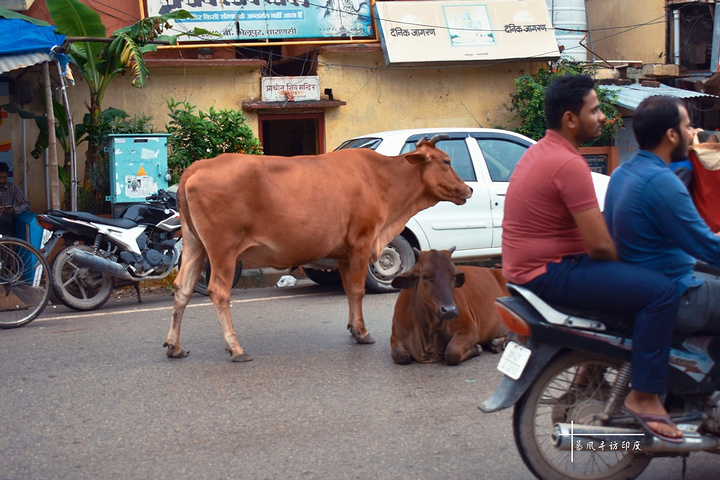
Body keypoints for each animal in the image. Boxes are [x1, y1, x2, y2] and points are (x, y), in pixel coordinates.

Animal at [166, 135, 476, 360]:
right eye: (447, 160)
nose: (469, 189)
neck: (381, 180)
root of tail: (200, 165)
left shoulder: (343, 251)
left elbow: (350, 291)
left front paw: (353, 328)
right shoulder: (362, 242)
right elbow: (358, 290)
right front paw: (363, 332)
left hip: (194, 246)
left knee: (182, 288)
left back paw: (174, 346)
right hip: (223, 250)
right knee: (219, 292)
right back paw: (236, 348)